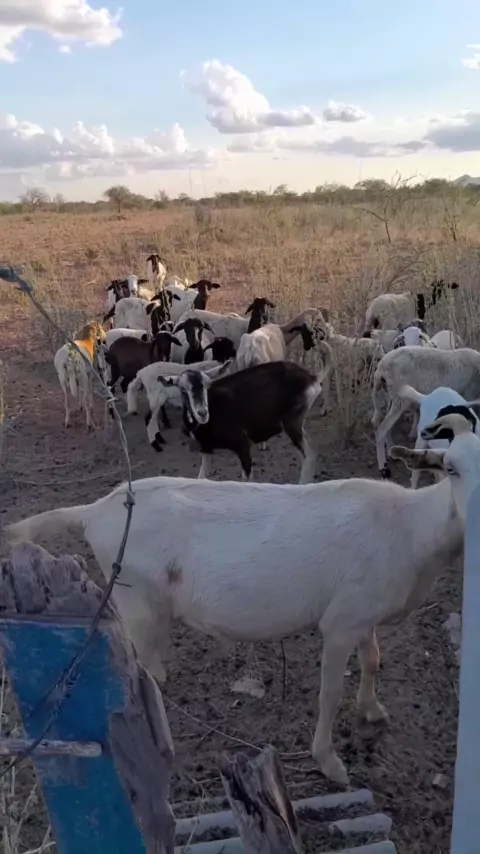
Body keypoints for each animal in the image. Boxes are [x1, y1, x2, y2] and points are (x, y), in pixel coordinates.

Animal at [8, 412, 479, 786]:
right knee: (137, 673)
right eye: (450, 468)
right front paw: (329, 762)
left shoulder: (365, 613)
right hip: (134, 601)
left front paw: (372, 710)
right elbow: (329, 695)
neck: (410, 525)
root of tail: (96, 512)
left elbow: (373, 661)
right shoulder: (340, 624)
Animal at [167, 348, 332, 483]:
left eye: (208, 384)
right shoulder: (206, 451)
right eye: (182, 388)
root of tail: (312, 378)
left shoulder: (242, 445)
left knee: (309, 454)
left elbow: (247, 479)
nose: (202, 412)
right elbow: (200, 478)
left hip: (292, 423)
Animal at [372, 346, 480, 477]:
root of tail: (382, 366)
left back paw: (391, 450)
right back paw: (383, 468)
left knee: (387, 427)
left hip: (392, 397)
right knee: (381, 430)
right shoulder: (469, 395)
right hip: (401, 399)